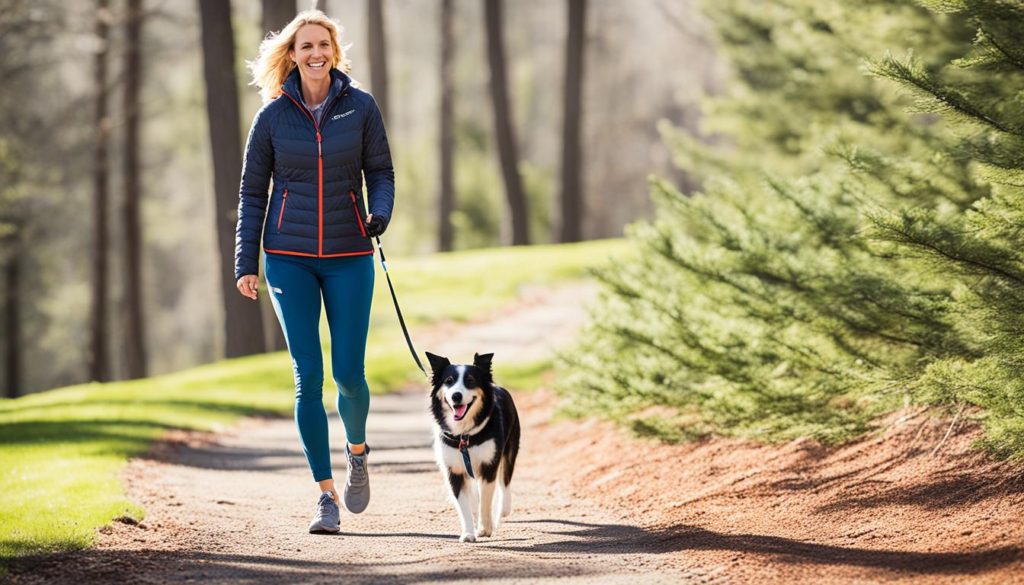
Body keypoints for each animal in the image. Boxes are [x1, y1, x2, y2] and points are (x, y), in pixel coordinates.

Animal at [425, 350, 520, 540]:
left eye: (470, 380)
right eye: (449, 381)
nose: (456, 396)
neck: (465, 434)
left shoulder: (489, 464)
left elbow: (486, 500)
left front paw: (485, 528)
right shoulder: (454, 470)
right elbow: (464, 505)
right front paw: (469, 533)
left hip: (510, 448)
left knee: (504, 482)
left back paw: (502, 510)